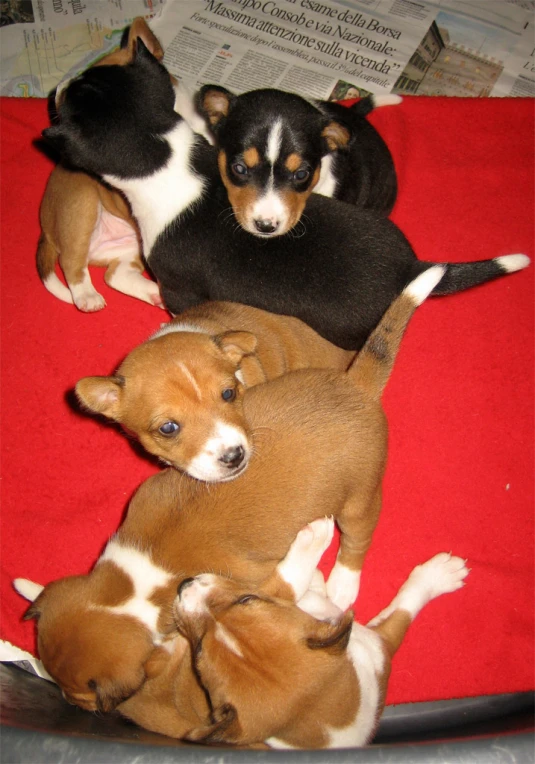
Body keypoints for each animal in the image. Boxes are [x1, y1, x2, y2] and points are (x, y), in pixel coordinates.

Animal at [43, 42, 532, 350]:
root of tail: (410, 269)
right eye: (238, 169)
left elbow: (181, 310)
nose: (59, 84)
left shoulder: (179, 286)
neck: (167, 156)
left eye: (70, 98)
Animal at [174, 552, 466, 748]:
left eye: (247, 599)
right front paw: (440, 575)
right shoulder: (382, 643)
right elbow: (403, 611)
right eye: (197, 651)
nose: (183, 585)